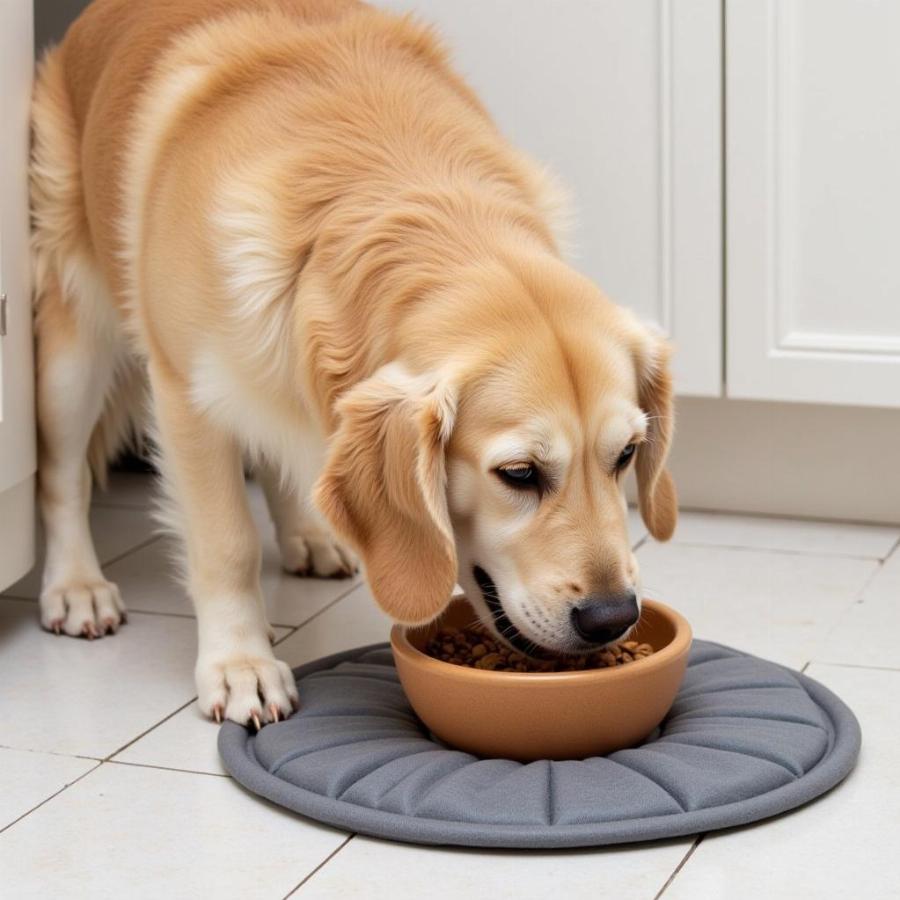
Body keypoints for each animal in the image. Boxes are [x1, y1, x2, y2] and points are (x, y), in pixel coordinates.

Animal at [29, 0, 676, 728]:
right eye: (518, 474)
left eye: (626, 455)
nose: (611, 617)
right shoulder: (186, 397)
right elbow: (227, 543)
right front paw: (240, 663)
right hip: (75, 341)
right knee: (60, 474)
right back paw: (76, 586)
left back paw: (308, 533)